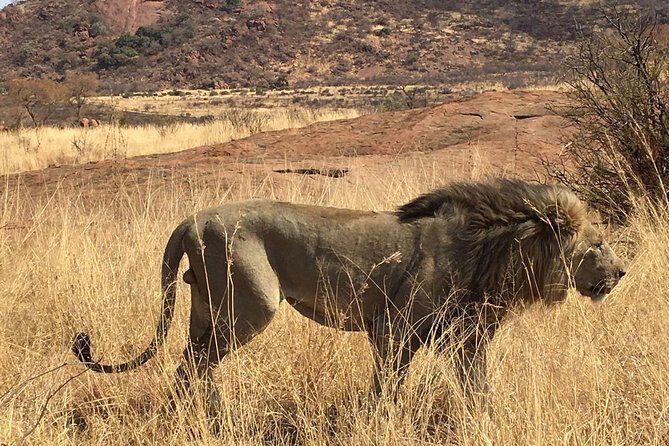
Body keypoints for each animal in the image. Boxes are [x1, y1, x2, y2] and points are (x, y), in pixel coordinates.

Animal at [72, 179, 626, 421]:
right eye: (597, 244)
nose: (622, 273)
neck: (488, 250)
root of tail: (192, 219)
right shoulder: (395, 330)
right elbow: (387, 387)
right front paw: (378, 422)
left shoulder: (465, 337)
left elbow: (477, 387)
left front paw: (486, 421)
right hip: (251, 303)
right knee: (198, 363)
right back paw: (208, 418)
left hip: (203, 308)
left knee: (188, 362)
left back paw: (195, 416)